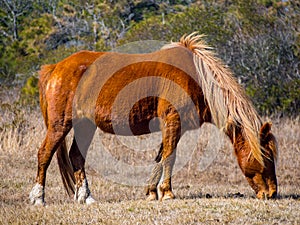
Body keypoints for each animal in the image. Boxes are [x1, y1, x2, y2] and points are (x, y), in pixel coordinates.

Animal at [29, 33, 278, 206]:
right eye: (266, 157)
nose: (272, 193)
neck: (196, 77)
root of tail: (55, 67)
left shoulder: (174, 127)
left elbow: (160, 157)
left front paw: (151, 192)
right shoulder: (173, 121)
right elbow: (169, 157)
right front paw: (167, 193)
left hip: (85, 126)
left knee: (77, 156)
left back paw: (86, 197)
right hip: (60, 125)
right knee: (44, 154)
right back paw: (38, 198)